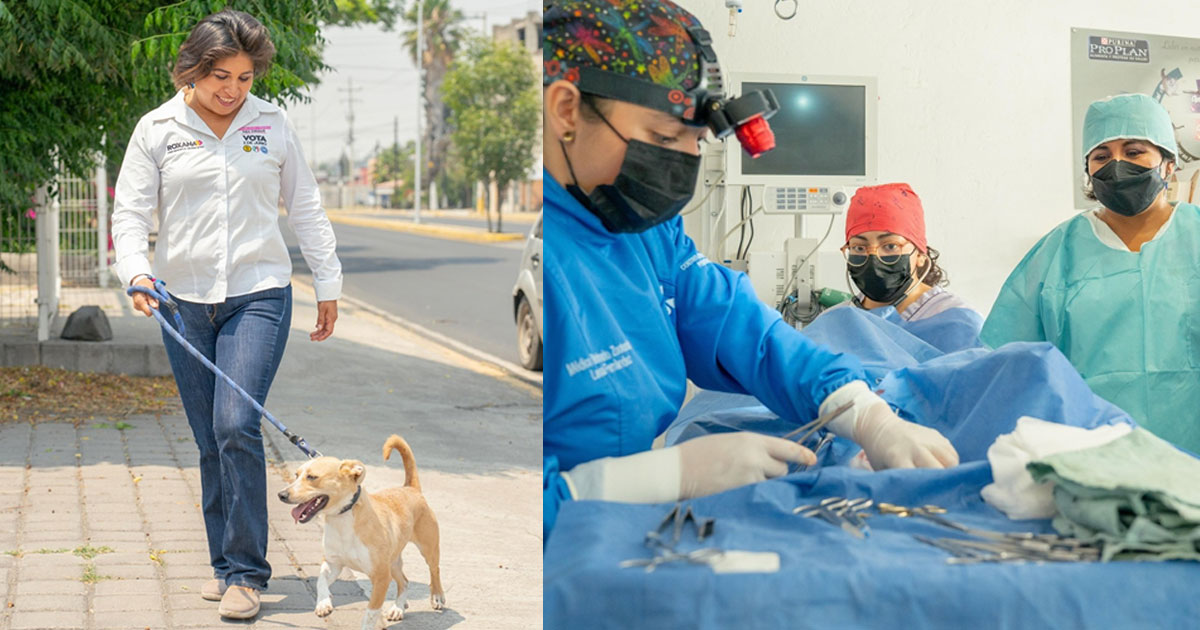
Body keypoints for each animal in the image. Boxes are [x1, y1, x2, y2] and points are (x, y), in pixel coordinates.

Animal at [278, 434, 448, 624]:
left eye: (312, 477)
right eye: (296, 475)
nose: (281, 495)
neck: (342, 519)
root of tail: (410, 488)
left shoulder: (381, 577)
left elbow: (371, 614)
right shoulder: (332, 563)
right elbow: (320, 580)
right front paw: (323, 603)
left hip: (427, 549)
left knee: (434, 570)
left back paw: (437, 596)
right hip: (393, 561)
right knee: (404, 581)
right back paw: (398, 608)